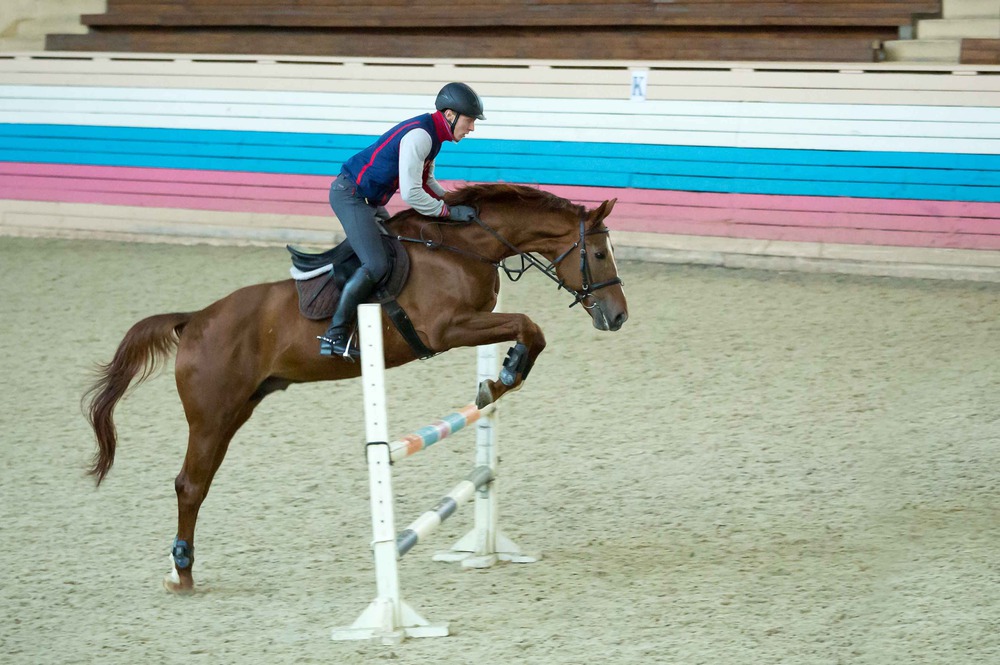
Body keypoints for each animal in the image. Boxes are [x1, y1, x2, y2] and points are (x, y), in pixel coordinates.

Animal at [82, 183, 628, 592]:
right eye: (599, 253)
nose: (618, 316)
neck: (463, 247)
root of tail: (193, 320)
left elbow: (526, 331)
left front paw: (499, 378)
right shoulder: (447, 329)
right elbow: (529, 325)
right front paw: (506, 374)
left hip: (238, 410)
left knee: (198, 482)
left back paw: (182, 567)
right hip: (212, 416)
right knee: (190, 485)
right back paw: (182, 572)